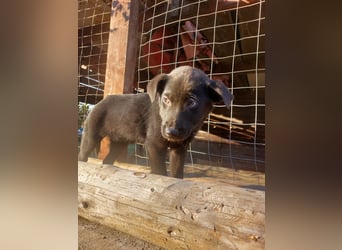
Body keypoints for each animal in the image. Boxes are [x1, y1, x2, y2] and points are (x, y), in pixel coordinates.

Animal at [77, 65, 232, 179]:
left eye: (192, 102)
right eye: (166, 99)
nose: (171, 132)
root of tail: (100, 102)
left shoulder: (180, 148)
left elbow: (176, 174)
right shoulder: (154, 145)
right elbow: (160, 173)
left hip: (119, 143)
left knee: (107, 161)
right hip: (91, 135)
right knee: (83, 156)